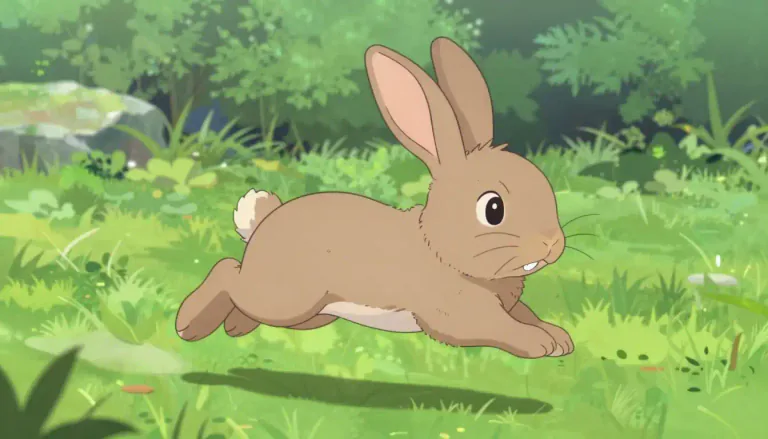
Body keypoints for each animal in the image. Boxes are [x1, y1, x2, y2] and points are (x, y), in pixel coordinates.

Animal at [175, 37, 574, 359]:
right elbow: (499, 327)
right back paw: (187, 325)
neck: (438, 248)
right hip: (284, 296)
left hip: (310, 314)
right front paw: (540, 344)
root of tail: (262, 223)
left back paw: (234, 328)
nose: (552, 244)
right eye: (493, 208)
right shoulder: (460, 313)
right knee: (228, 272)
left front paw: (559, 339)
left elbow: (524, 314)